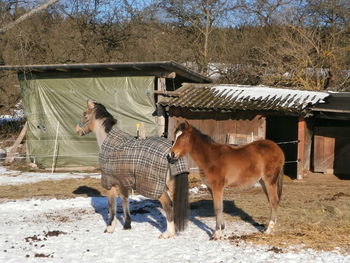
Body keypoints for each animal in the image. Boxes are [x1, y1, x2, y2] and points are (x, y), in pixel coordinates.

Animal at [74, 99, 189, 239]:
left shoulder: (110, 183)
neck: (109, 142)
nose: (77, 130)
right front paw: (127, 224)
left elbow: (111, 205)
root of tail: (172, 152)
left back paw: (168, 233)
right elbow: (125, 200)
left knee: (168, 205)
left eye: (84, 114)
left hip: (158, 188)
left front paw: (110, 227)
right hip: (172, 185)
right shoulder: (123, 182)